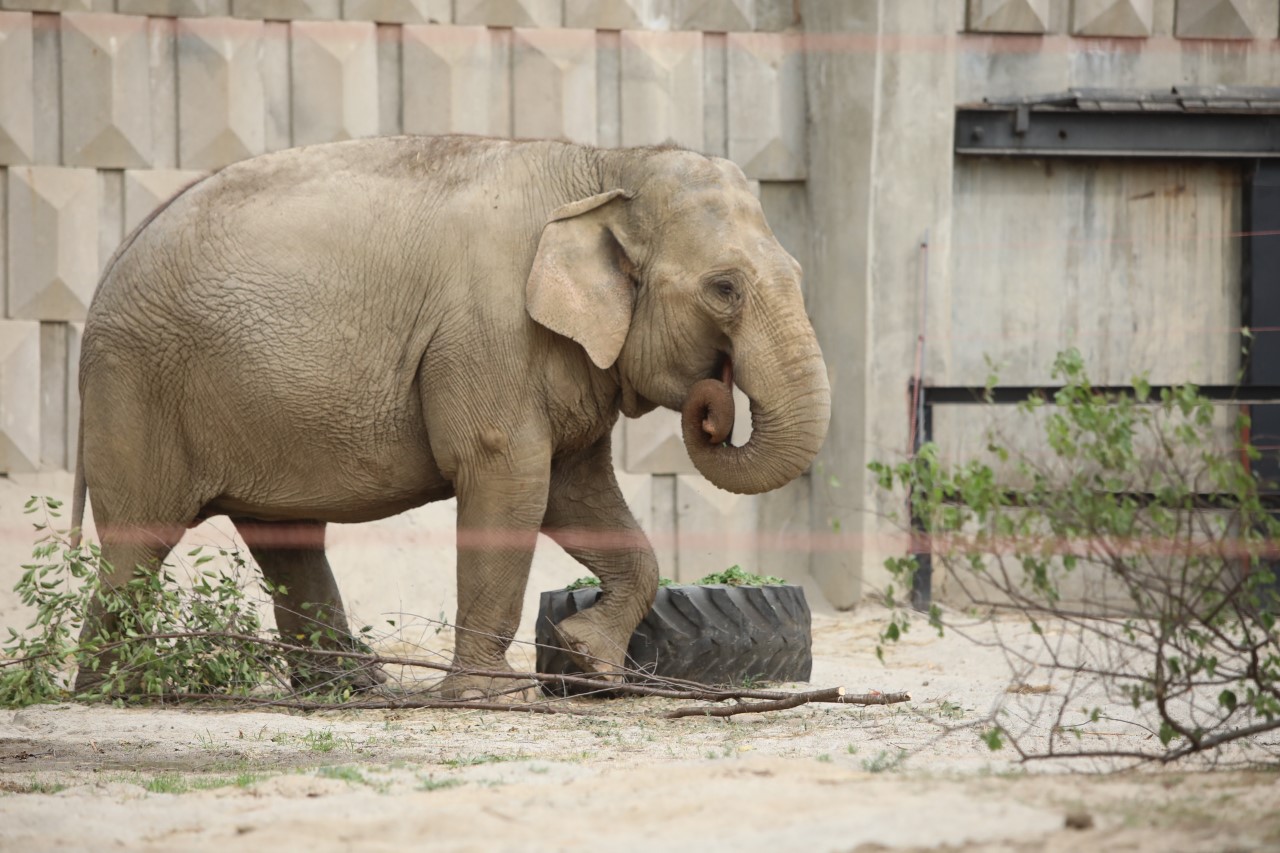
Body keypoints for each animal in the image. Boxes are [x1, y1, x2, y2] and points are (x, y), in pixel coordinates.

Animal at [72, 134, 829, 696]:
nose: (714, 407)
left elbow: (575, 490)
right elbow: (510, 476)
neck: (607, 163)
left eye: (796, 272)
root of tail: (114, 256)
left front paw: (590, 663)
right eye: (724, 289)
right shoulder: (490, 333)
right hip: (136, 387)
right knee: (139, 540)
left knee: (286, 537)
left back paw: (353, 688)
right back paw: (120, 690)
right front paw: (497, 695)